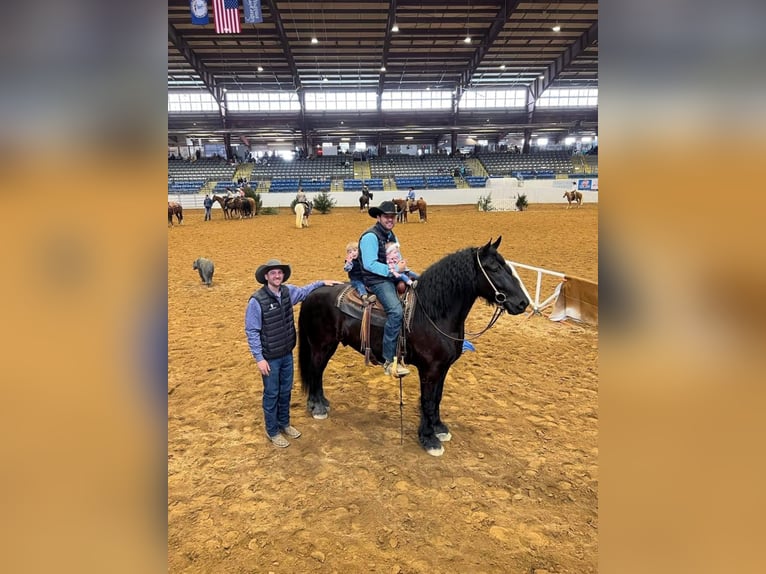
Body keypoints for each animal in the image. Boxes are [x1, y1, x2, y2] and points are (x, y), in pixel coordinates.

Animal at [296, 236, 532, 456]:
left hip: (329, 345)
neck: (432, 313)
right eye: (494, 268)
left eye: (507, 266)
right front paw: (428, 439)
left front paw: (439, 428)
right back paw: (317, 407)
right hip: (321, 345)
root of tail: (313, 293)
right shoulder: (429, 370)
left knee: (318, 372)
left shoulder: (443, 368)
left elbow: (437, 398)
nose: (523, 303)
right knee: (315, 370)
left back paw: (322, 402)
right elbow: (427, 401)